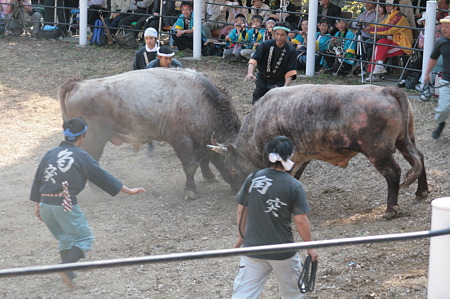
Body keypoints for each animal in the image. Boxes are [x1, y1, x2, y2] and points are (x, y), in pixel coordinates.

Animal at [60, 68, 243, 199]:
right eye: (233, 168)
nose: (239, 190)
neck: (198, 100)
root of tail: (79, 84)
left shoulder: (201, 140)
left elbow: (204, 159)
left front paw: (209, 177)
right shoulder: (182, 141)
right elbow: (190, 165)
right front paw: (190, 190)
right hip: (94, 139)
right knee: (91, 160)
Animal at [211, 85, 428, 219]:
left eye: (232, 169)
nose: (237, 192)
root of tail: (388, 90)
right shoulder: (300, 157)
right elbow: (294, 177)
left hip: (378, 151)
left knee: (393, 172)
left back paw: (391, 209)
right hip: (405, 140)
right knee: (419, 158)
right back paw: (422, 191)